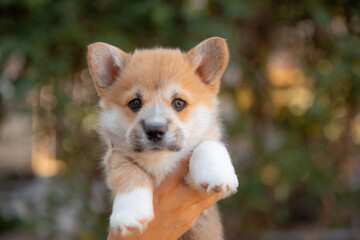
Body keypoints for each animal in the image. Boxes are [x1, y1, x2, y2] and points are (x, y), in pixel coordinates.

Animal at [87, 36, 239, 239]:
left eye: (179, 103)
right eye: (135, 103)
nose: (155, 130)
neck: (160, 161)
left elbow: (206, 143)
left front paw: (217, 174)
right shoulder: (116, 157)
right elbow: (129, 172)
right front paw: (130, 214)